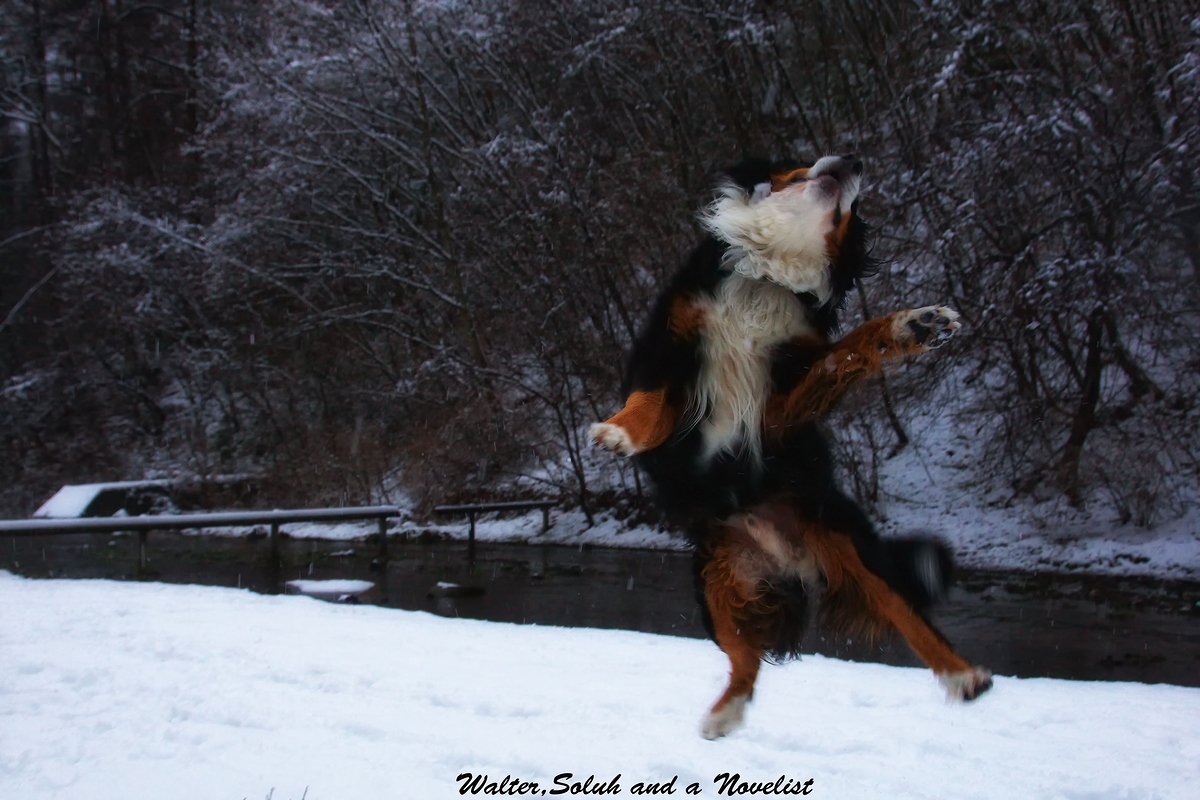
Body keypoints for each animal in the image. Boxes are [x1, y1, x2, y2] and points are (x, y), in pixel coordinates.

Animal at [590, 154, 993, 738]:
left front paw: (913, 324)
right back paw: (724, 713)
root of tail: (788, 561)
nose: (853, 159)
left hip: (848, 544)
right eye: (803, 158)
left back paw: (964, 675)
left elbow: (849, 349)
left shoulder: (780, 402)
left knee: (908, 617)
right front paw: (619, 432)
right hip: (716, 578)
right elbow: (648, 401)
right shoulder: (669, 350)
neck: (770, 274)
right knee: (746, 661)